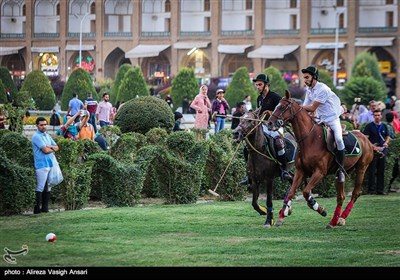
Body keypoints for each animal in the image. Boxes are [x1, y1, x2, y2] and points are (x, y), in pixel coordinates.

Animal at [266, 91, 376, 229]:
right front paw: (282, 216)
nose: (269, 123)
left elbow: (306, 192)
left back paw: (341, 218)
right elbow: (291, 192)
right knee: (341, 196)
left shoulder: (319, 172)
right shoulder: (300, 171)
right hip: (341, 174)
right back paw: (334, 221)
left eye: (282, 107)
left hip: (362, 168)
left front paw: (319, 208)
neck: (310, 139)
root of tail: (366, 138)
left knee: (355, 193)